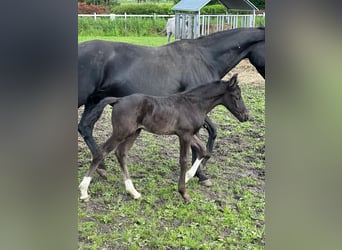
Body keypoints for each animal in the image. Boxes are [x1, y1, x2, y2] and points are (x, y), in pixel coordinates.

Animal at [78, 26, 264, 186]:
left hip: (93, 101)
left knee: (85, 127)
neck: (205, 58)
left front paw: (199, 171)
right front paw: (199, 173)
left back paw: (102, 167)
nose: (245, 116)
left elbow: (209, 133)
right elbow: (208, 134)